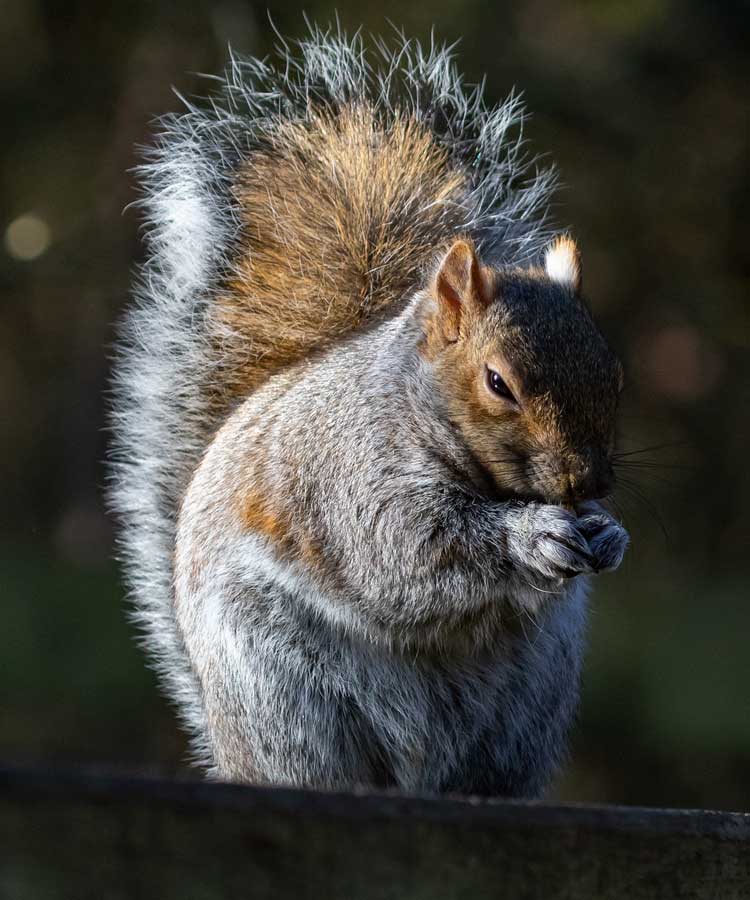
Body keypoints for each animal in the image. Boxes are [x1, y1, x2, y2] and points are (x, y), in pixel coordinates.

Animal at [111, 28, 628, 796]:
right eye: (498, 383)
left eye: (613, 373)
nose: (587, 483)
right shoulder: (353, 474)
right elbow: (410, 546)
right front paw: (531, 535)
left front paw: (608, 533)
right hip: (286, 693)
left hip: (528, 706)